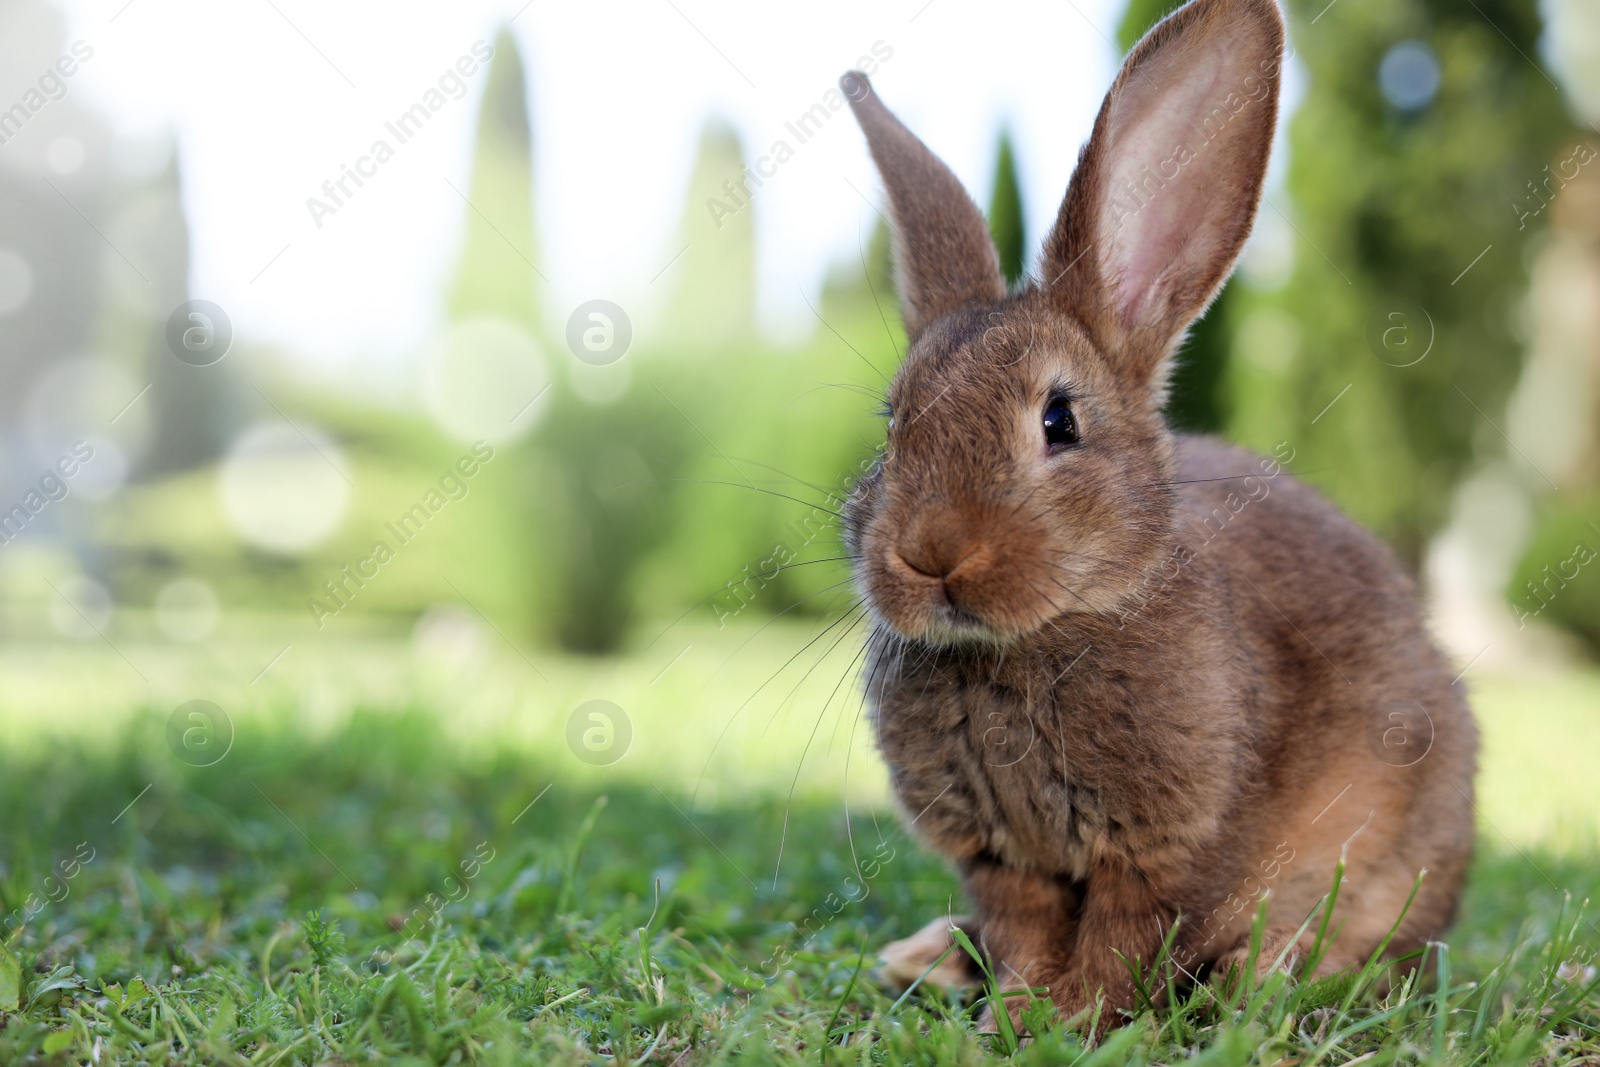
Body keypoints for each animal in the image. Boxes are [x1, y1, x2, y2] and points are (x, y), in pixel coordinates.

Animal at [844, 0, 1478, 1036]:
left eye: (1059, 421)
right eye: (893, 422)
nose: (932, 554)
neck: (1040, 635)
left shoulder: (1172, 851)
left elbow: (1123, 938)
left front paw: (1068, 1021)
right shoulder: (999, 856)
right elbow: (1025, 926)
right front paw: (1018, 1009)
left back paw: (1266, 977)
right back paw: (931, 959)